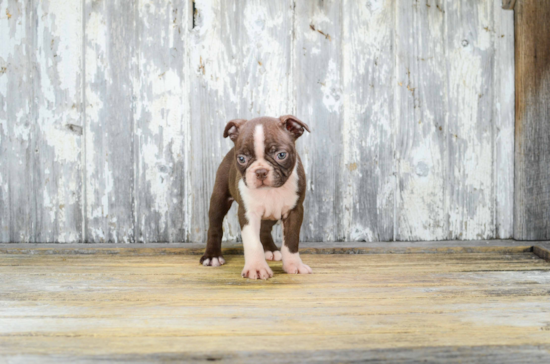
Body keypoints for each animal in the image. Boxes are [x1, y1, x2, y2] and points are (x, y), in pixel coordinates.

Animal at [202, 114, 314, 278]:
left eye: (281, 155)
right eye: (242, 158)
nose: (261, 171)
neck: (271, 191)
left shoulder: (294, 211)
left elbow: (291, 241)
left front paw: (294, 265)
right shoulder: (248, 214)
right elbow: (253, 242)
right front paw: (257, 268)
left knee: (265, 228)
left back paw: (270, 250)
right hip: (219, 199)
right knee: (215, 227)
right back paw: (212, 256)